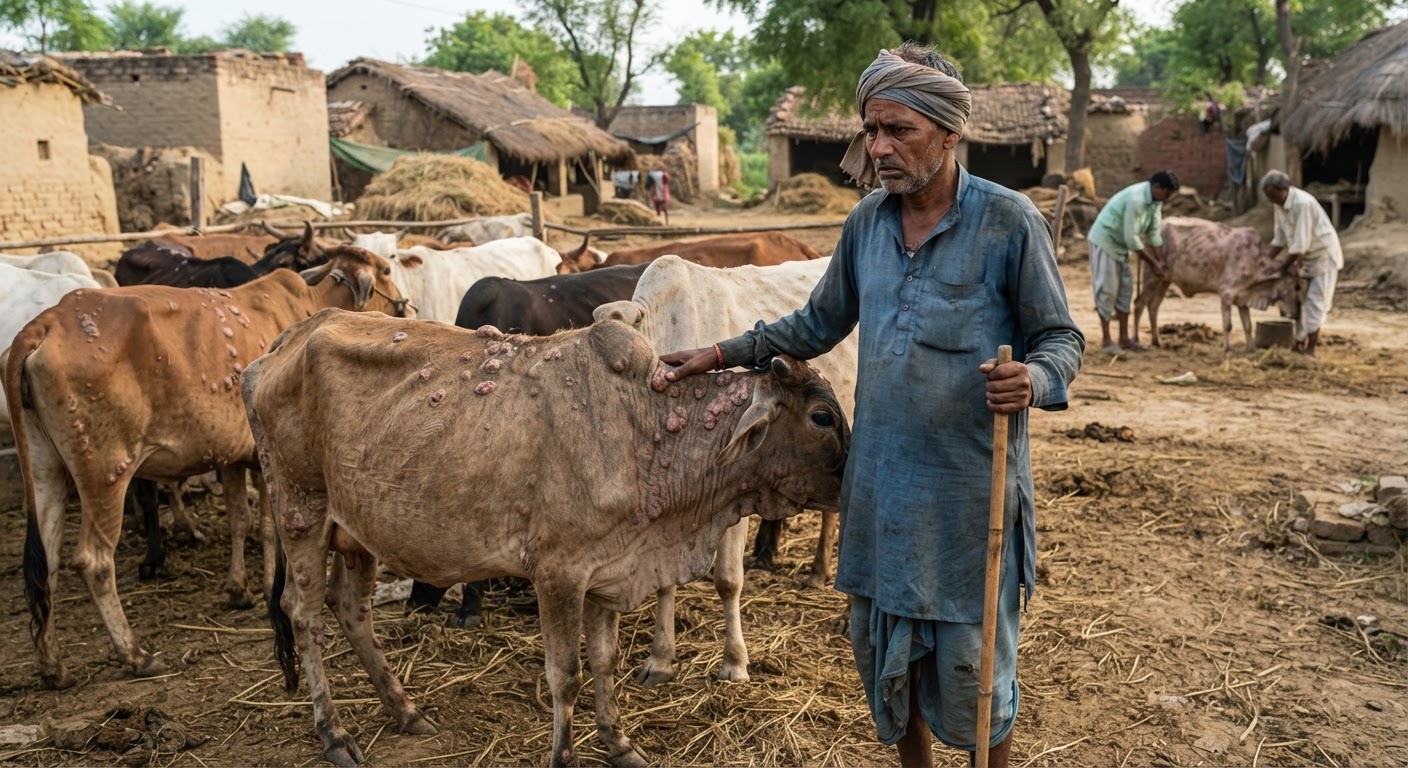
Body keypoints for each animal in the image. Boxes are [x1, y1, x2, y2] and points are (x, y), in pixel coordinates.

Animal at [5, 246, 408, 690]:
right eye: (385, 270)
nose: (405, 307)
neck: (309, 304)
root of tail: (43, 324)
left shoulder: (231, 457)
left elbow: (238, 519)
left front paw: (238, 588)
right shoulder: (267, 461)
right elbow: (266, 526)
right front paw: (263, 583)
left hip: (46, 469)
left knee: (46, 563)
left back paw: (53, 666)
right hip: (106, 471)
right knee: (92, 561)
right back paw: (136, 655)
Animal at [241, 310, 849, 767]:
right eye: (822, 417)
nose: (856, 480)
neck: (650, 429)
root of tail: (279, 346)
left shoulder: (609, 571)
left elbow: (604, 662)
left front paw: (620, 744)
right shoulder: (558, 575)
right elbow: (567, 676)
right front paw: (566, 755)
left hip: (359, 530)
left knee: (351, 609)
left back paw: (406, 710)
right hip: (301, 512)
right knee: (305, 615)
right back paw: (335, 735)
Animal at [1133, 216, 1299, 352]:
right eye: (1296, 286)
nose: (1296, 314)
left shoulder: (1242, 298)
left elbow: (1248, 325)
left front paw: (1251, 350)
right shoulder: (1226, 294)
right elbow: (1228, 325)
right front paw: (1227, 349)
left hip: (1164, 280)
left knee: (1153, 306)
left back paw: (1156, 341)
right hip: (1151, 275)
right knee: (1139, 304)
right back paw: (1136, 340)